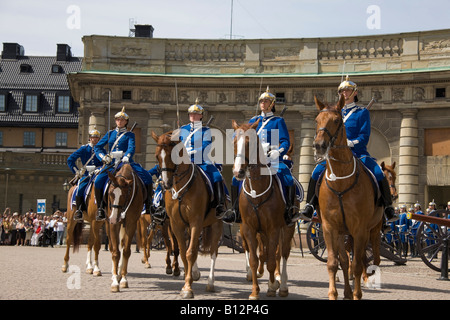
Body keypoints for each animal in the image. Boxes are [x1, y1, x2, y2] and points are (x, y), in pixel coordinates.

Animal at [105, 164, 144, 292]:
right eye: (110, 193)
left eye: (124, 196)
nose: (114, 218)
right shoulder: (113, 225)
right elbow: (115, 252)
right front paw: (114, 282)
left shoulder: (131, 224)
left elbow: (126, 251)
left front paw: (123, 279)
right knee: (113, 247)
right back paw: (114, 274)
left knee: (122, 245)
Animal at [151, 130, 223, 300]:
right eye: (157, 156)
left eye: (172, 155)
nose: (166, 184)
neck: (180, 189)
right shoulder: (176, 224)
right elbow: (183, 251)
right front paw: (186, 280)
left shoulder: (196, 222)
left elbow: (189, 253)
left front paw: (188, 288)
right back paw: (195, 272)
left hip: (216, 224)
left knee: (213, 252)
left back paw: (210, 282)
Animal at [232, 120, 296, 300]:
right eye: (234, 142)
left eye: (250, 143)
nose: (238, 172)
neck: (256, 193)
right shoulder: (249, 228)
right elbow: (255, 259)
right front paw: (255, 291)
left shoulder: (274, 229)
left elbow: (273, 259)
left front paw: (273, 286)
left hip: (288, 228)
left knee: (283, 253)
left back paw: (282, 285)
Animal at [312, 95, 384, 300]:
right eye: (317, 120)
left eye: (337, 121)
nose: (319, 146)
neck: (340, 182)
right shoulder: (329, 227)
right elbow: (334, 262)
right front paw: (333, 293)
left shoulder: (360, 229)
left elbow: (358, 264)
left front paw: (357, 294)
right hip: (343, 232)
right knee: (345, 260)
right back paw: (346, 291)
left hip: (373, 230)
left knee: (372, 258)